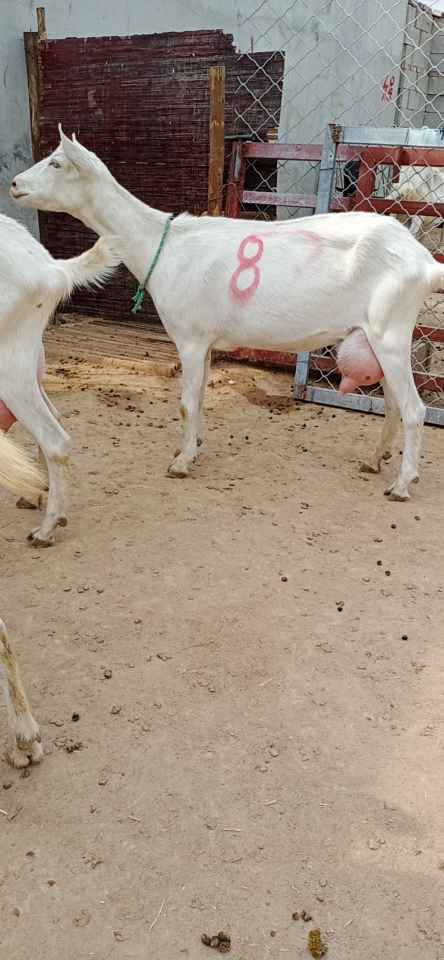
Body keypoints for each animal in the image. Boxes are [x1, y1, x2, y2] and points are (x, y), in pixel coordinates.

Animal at [11, 126, 444, 498]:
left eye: (56, 164)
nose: (14, 184)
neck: (162, 245)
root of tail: (424, 261)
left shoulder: (189, 338)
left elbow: (186, 402)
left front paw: (181, 463)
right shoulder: (205, 343)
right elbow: (200, 398)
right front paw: (193, 446)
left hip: (390, 332)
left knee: (414, 409)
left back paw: (402, 484)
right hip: (379, 336)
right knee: (393, 405)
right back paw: (375, 461)